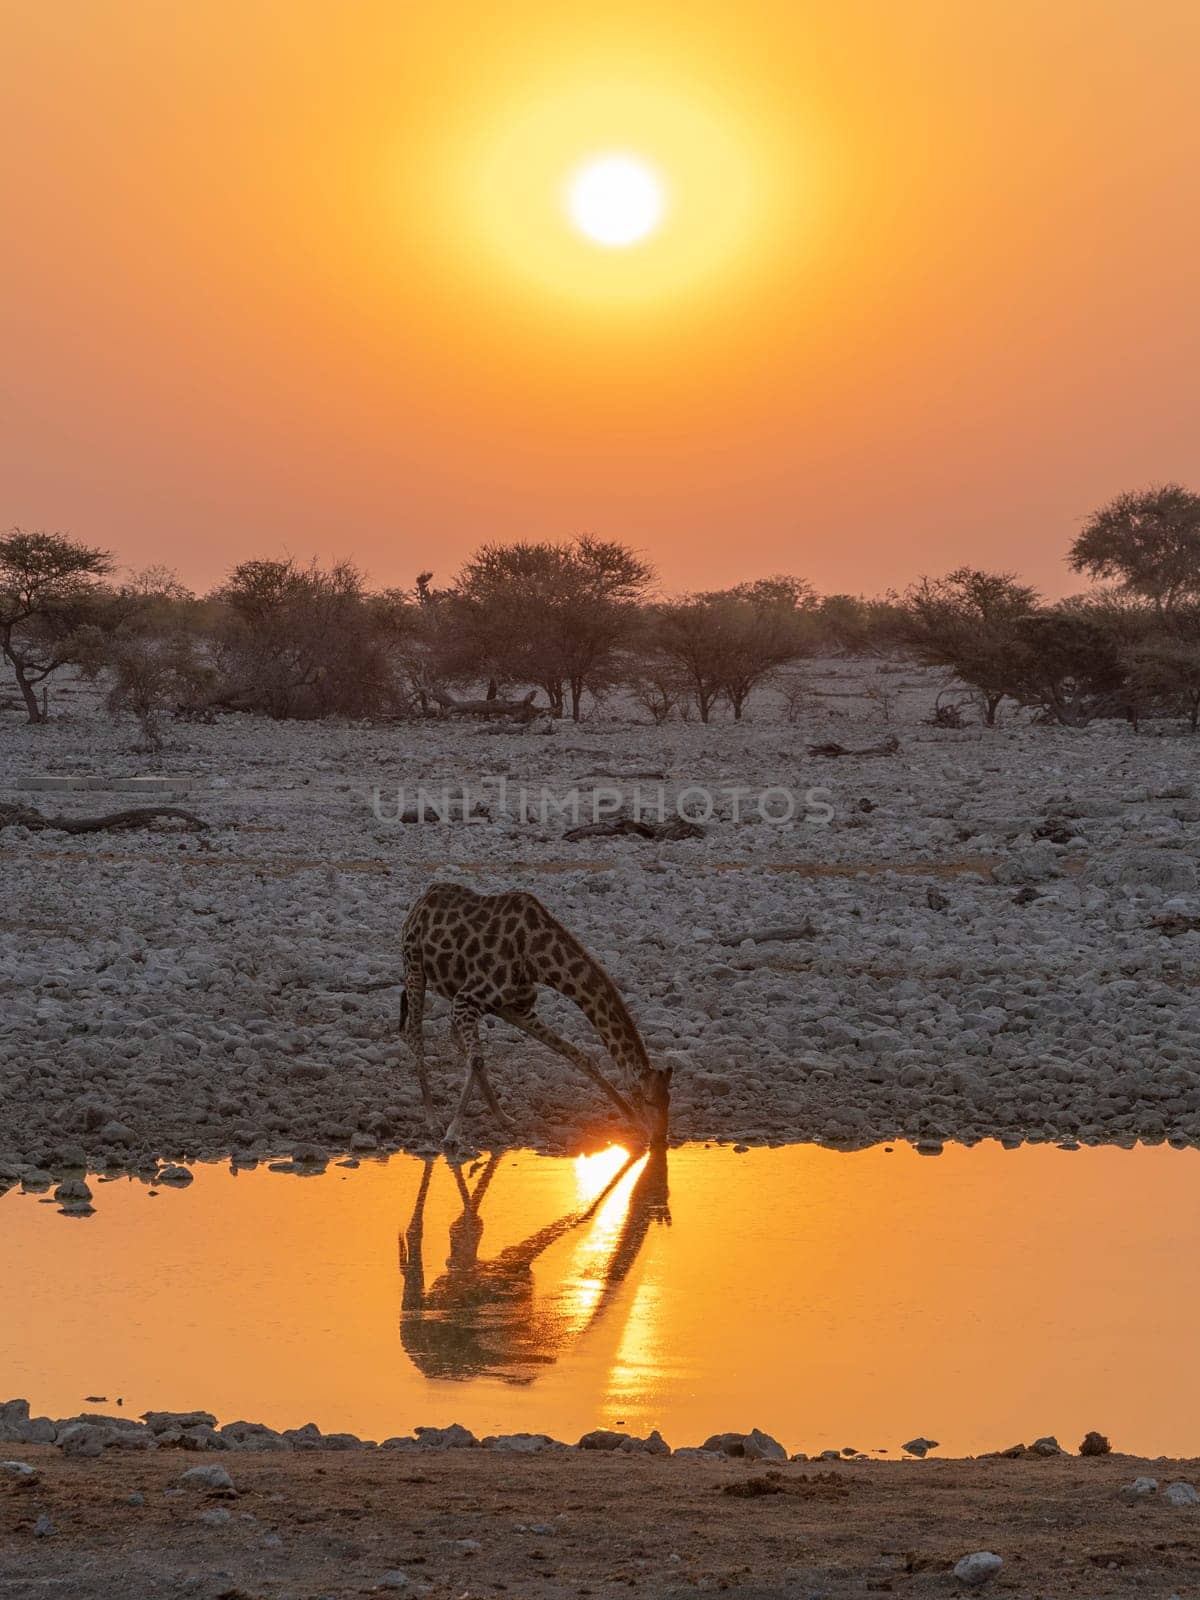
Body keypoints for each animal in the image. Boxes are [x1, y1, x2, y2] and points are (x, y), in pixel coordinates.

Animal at [400, 876, 672, 1152]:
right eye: (646, 1099)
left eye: (668, 1100)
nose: (661, 1138)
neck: (537, 958)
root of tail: (424, 896)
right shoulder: (467, 998)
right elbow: (476, 1059)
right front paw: (453, 1134)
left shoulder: (514, 1007)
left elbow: (579, 1055)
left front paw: (635, 1123)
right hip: (415, 965)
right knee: (416, 1035)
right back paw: (433, 1121)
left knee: (457, 1039)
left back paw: (502, 1117)